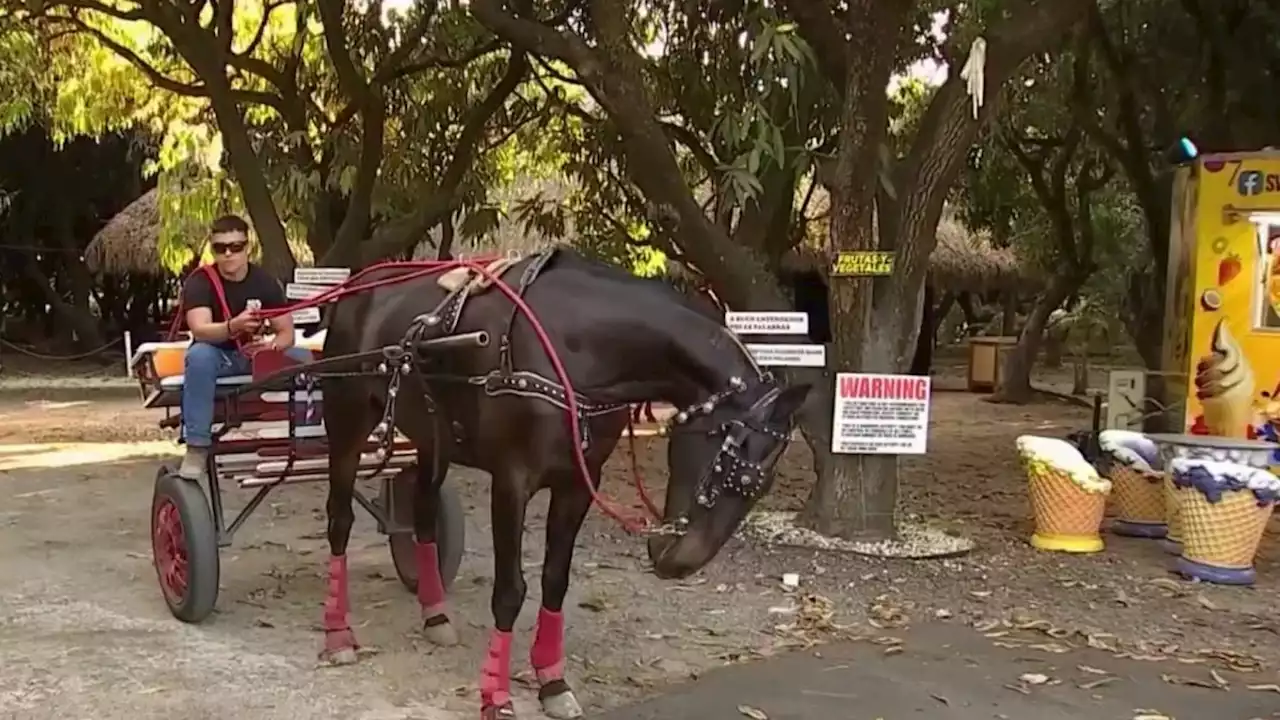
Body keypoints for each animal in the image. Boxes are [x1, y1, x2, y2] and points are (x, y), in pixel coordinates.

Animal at [317, 248, 808, 717]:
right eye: (730, 454)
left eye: (763, 483)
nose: (681, 563)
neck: (577, 348)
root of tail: (360, 284)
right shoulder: (511, 481)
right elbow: (510, 591)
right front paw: (495, 694)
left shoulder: (578, 482)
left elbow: (555, 580)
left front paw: (552, 682)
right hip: (346, 420)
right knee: (339, 521)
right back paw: (338, 633)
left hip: (432, 436)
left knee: (422, 514)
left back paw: (435, 614)